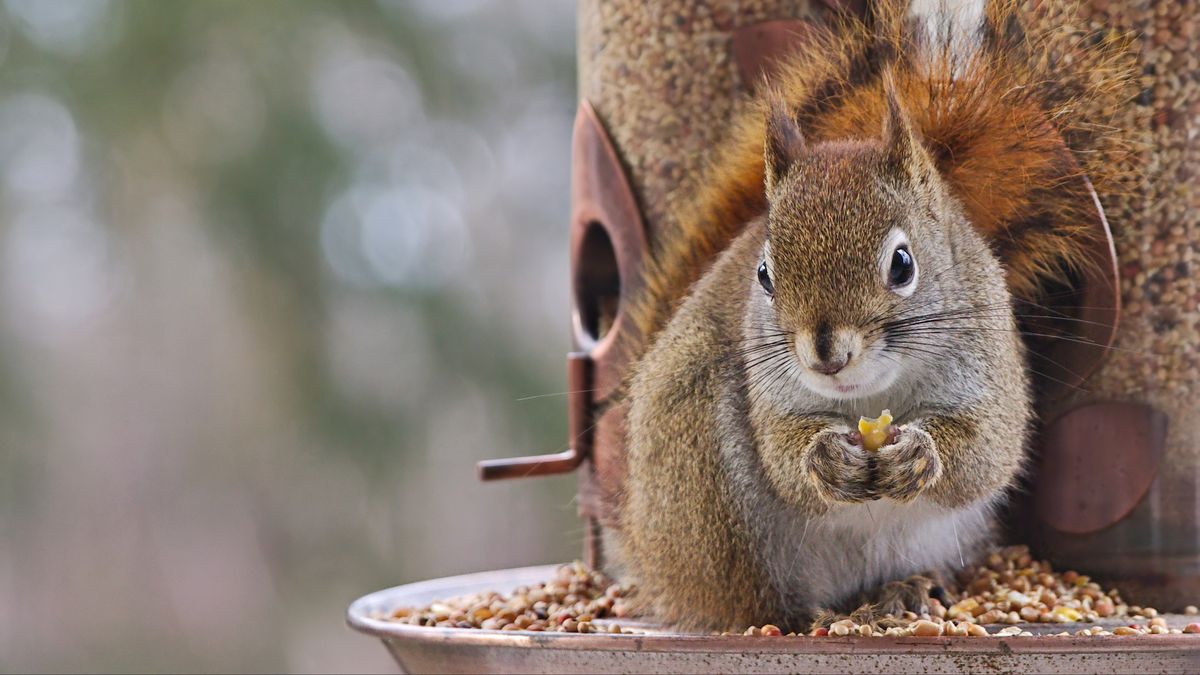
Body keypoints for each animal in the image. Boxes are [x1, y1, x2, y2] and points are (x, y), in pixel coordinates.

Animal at [604, 0, 1137, 629]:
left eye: (902, 264)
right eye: (764, 275)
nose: (826, 355)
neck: (871, 396)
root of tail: (645, 545)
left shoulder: (986, 370)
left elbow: (986, 450)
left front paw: (922, 453)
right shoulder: (773, 398)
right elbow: (784, 457)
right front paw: (824, 457)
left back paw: (902, 591)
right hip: (705, 482)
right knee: (747, 596)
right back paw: (805, 615)